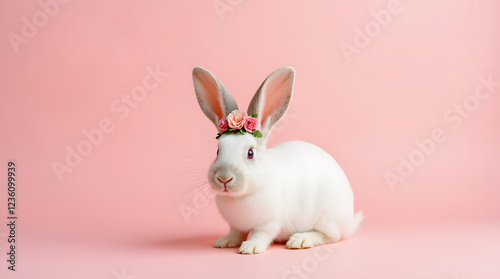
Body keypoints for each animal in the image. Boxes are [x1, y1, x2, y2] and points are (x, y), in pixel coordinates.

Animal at [192, 66, 364, 255]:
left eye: (250, 153)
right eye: (217, 151)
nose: (224, 177)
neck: (242, 195)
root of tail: (348, 222)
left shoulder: (269, 223)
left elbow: (261, 234)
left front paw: (251, 247)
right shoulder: (236, 225)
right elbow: (236, 233)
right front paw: (225, 242)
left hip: (327, 217)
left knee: (331, 236)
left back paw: (300, 240)